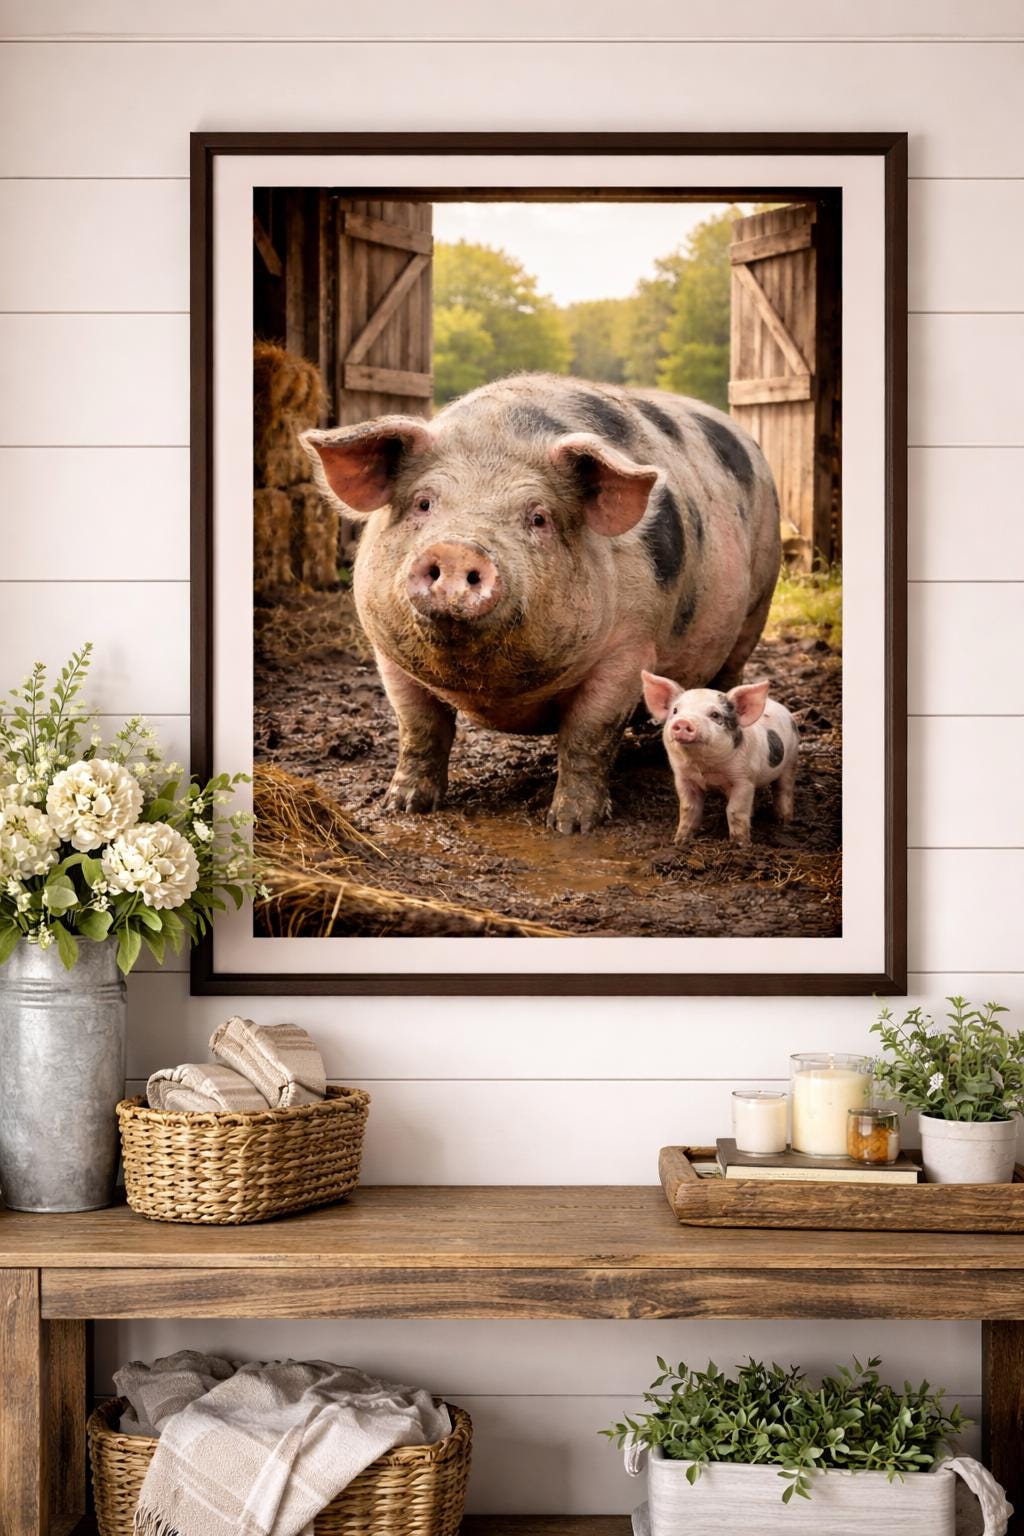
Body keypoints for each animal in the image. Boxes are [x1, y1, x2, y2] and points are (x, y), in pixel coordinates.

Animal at [301, 373, 781, 834]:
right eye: (423, 503)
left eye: (538, 517)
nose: (458, 550)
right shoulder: (387, 652)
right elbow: (419, 727)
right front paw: (403, 806)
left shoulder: (630, 651)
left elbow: (589, 735)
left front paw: (572, 827)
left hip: (757, 604)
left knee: (729, 674)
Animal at [640, 672, 798, 846]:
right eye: (675, 710)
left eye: (715, 715)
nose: (683, 721)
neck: (706, 768)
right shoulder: (683, 778)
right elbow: (688, 808)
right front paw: (680, 841)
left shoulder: (744, 779)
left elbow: (734, 810)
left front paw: (740, 845)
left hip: (791, 759)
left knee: (784, 789)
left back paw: (784, 822)